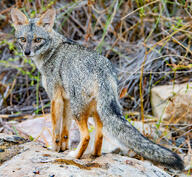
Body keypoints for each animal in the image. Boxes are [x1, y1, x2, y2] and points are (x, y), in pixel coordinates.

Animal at [10, 7, 184, 170]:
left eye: (38, 40)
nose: (27, 52)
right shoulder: (66, 101)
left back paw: (76, 156)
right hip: (94, 110)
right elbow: (65, 132)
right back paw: (94, 155)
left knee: (87, 136)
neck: (53, 50)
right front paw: (63, 148)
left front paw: (54, 148)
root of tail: (102, 69)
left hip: (80, 111)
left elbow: (56, 130)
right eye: (23, 39)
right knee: (99, 135)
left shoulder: (56, 99)